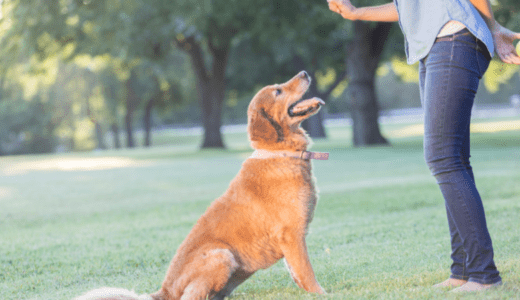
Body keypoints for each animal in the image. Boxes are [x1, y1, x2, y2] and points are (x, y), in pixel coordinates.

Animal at [76, 71, 330, 300]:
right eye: (278, 91)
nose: (305, 72)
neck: (280, 152)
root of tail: (164, 291)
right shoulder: (292, 235)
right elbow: (307, 273)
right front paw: (322, 294)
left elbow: (297, 273)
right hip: (222, 255)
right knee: (191, 296)